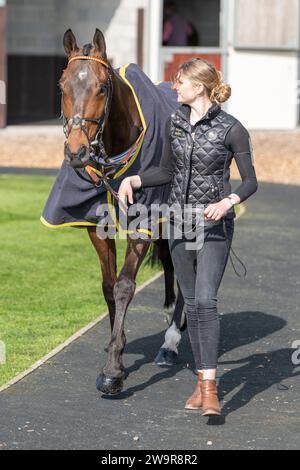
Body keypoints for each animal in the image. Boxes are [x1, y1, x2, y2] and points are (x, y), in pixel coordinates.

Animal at [59, 29, 185, 394]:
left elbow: (125, 286)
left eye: (102, 87)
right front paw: (118, 344)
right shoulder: (95, 227)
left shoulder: (142, 224)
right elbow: (107, 285)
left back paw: (171, 341)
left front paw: (113, 369)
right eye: (62, 85)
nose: (77, 152)